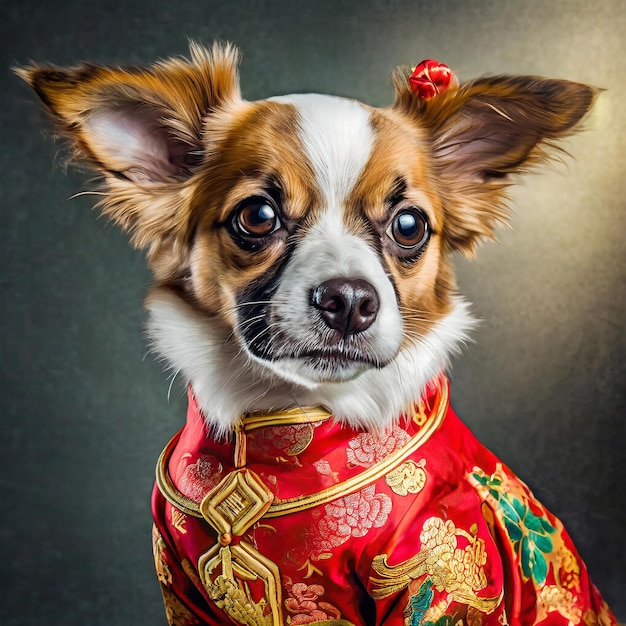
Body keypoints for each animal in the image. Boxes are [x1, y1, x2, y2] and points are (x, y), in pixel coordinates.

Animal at [19, 44, 616, 624]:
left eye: (409, 226)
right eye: (257, 216)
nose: (349, 301)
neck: (287, 421)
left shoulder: (441, 578)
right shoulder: (182, 588)